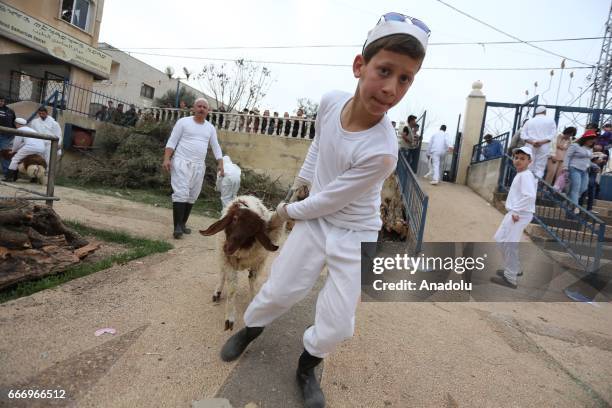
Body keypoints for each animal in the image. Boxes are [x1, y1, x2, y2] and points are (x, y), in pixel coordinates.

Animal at [201, 195, 286, 332]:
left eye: (253, 230)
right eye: (235, 219)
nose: (229, 248)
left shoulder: (258, 263)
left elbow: (252, 281)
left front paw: (253, 301)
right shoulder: (227, 261)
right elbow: (232, 288)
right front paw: (229, 318)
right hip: (221, 256)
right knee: (222, 274)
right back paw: (217, 292)